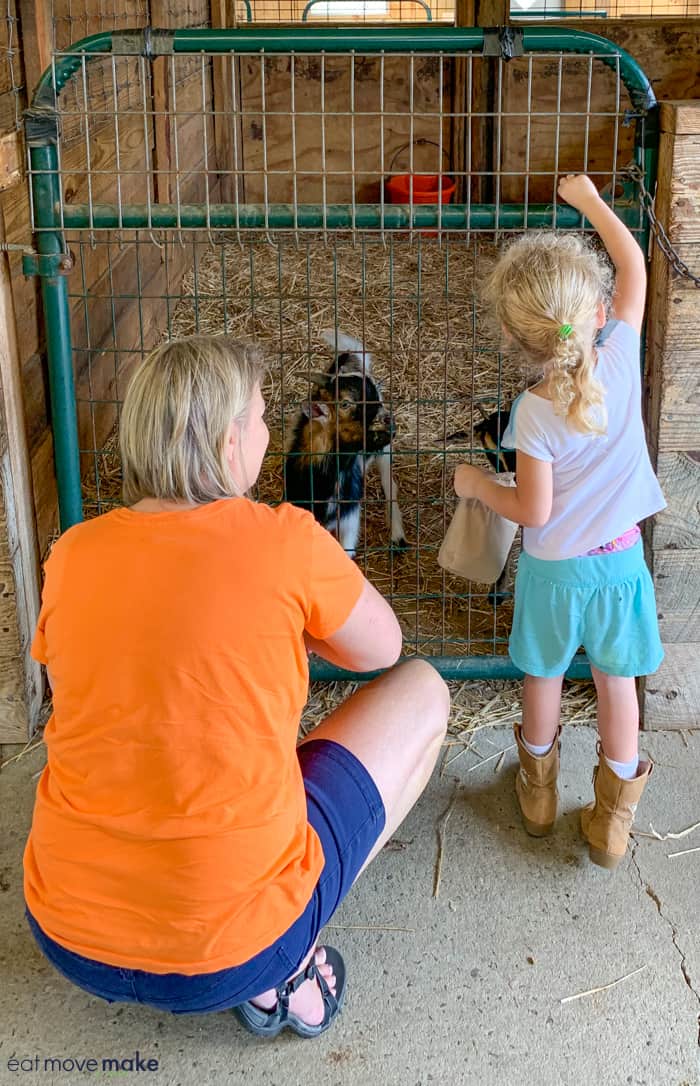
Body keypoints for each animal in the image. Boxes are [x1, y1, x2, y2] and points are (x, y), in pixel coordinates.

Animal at [282, 330, 405, 560]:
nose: (388, 421)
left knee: (389, 484)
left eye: (375, 396)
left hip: (383, 453)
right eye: (346, 403)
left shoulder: (349, 521)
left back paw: (397, 535)